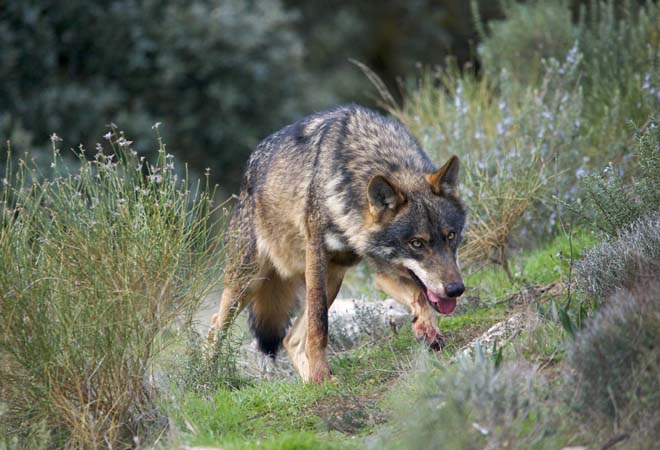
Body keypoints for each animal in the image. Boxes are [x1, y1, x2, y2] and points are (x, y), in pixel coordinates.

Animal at [209, 104, 467, 382]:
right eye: (417, 243)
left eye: (451, 236)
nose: (456, 289)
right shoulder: (316, 256)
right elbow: (319, 325)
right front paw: (321, 372)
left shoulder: (382, 270)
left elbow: (419, 295)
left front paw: (427, 329)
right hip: (248, 282)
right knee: (215, 326)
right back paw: (208, 376)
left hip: (332, 279)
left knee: (290, 340)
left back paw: (312, 382)